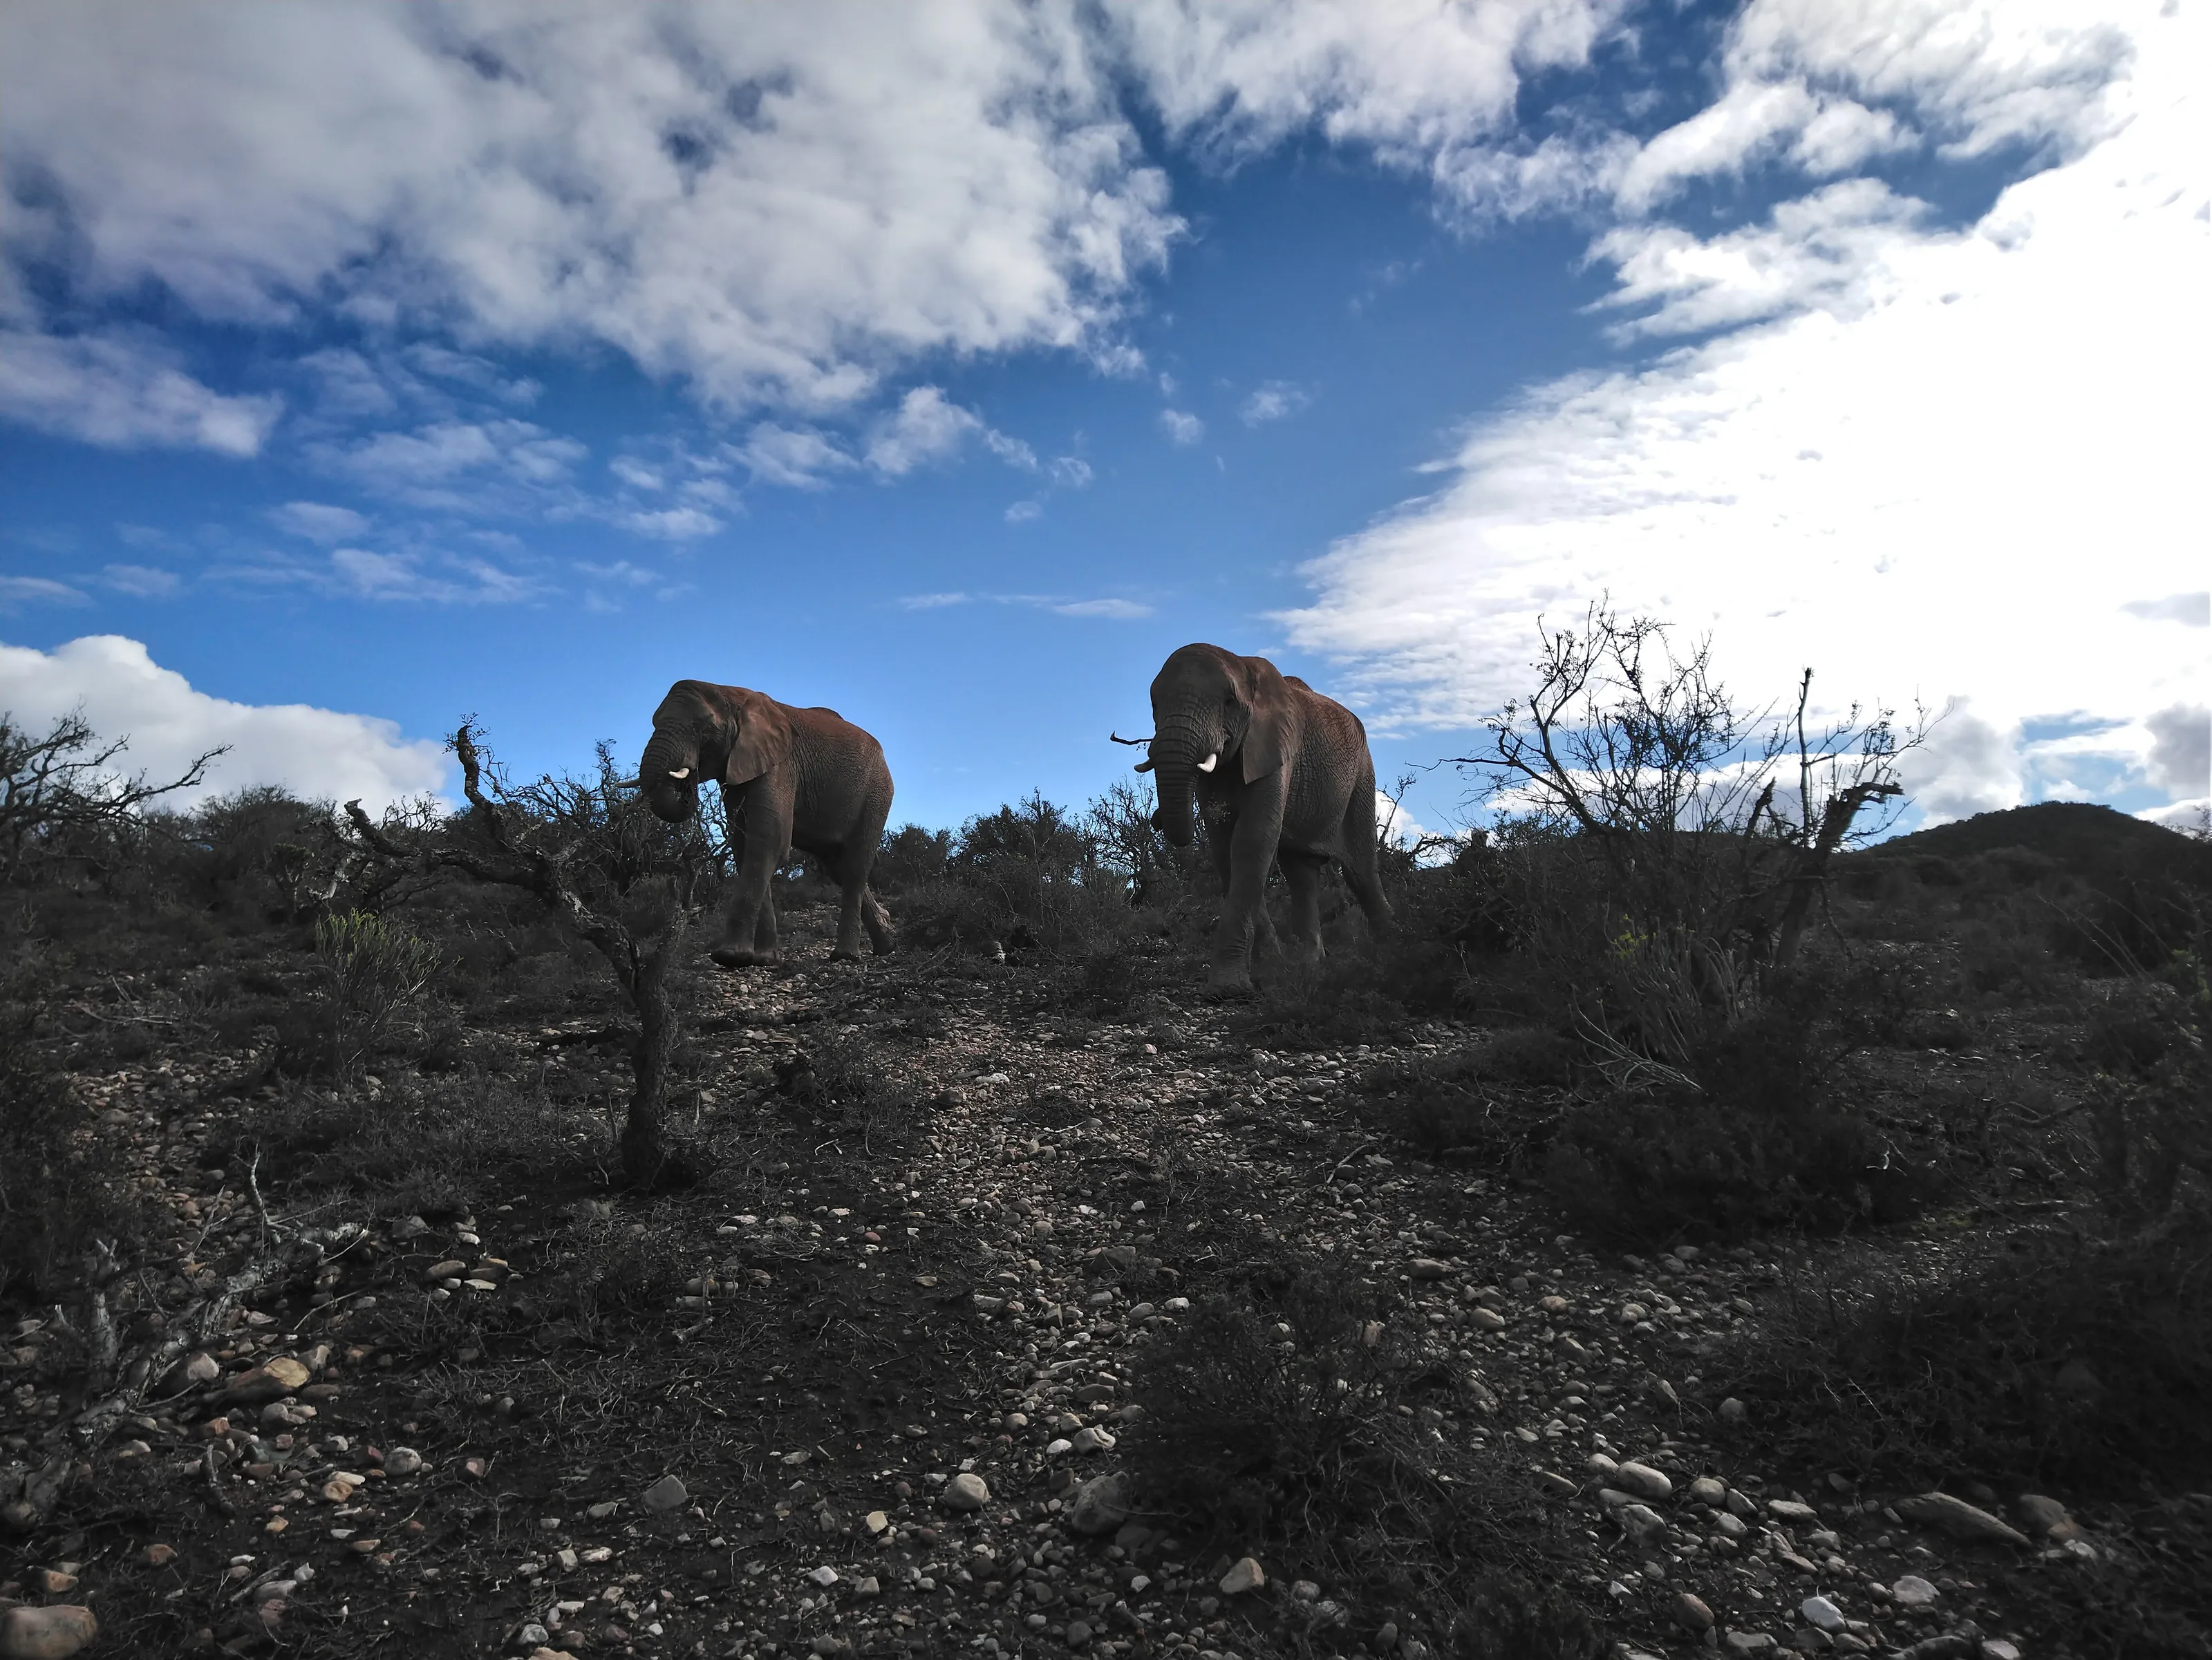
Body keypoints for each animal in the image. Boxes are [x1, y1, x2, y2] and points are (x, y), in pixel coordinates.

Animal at [639, 679, 894, 967]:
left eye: (704, 727)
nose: (687, 780)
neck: (730, 693)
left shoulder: (781, 765)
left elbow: (768, 842)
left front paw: (730, 956)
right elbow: (742, 843)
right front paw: (763, 959)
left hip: (876, 794)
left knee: (854, 867)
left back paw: (846, 956)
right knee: (837, 867)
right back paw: (888, 944)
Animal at [1138, 643, 1394, 990]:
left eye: (1229, 702)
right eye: (1154, 704)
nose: (1156, 819)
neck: (1240, 664)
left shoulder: (1279, 745)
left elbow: (1252, 840)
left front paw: (1228, 990)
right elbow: (1224, 848)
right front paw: (1271, 970)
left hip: (1362, 777)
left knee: (1361, 871)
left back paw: (1394, 950)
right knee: (1302, 874)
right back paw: (1308, 968)